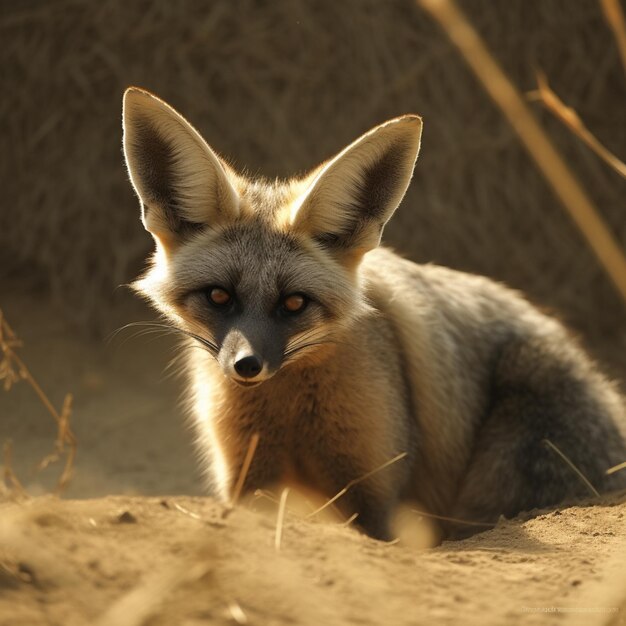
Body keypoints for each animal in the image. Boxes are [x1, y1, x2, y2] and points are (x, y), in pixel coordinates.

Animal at [122, 85, 624, 540]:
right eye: (219, 296)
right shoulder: (248, 479)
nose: (247, 366)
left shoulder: (375, 489)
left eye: (294, 303)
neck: (288, 412)